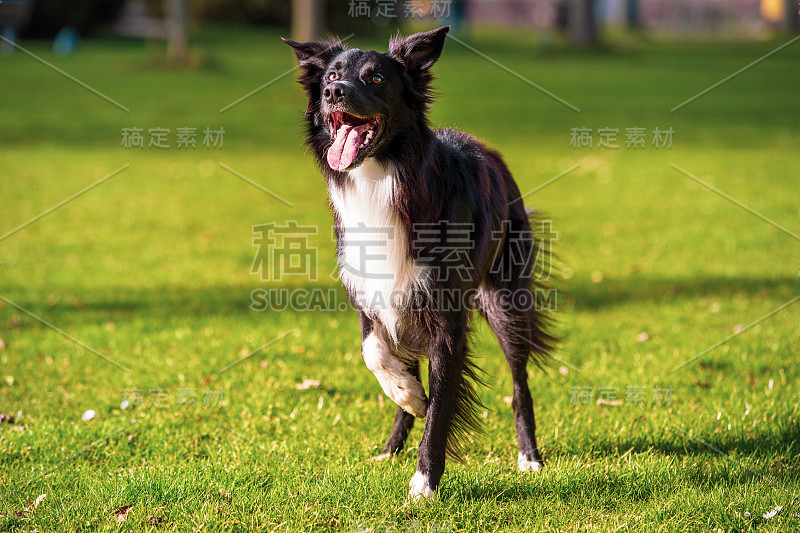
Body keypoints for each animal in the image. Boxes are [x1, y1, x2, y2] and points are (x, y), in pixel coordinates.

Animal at [282, 27, 556, 496]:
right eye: (331, 75)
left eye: (376, 79)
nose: (334, 92)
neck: (381, 176)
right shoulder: (374, 297)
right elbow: (373, 352)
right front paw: (407, 393)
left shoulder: (445, 320)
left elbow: (443, 404)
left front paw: (425, 482)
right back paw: (392, 443)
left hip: (506, 301)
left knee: (520, 384)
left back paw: (529, 457)